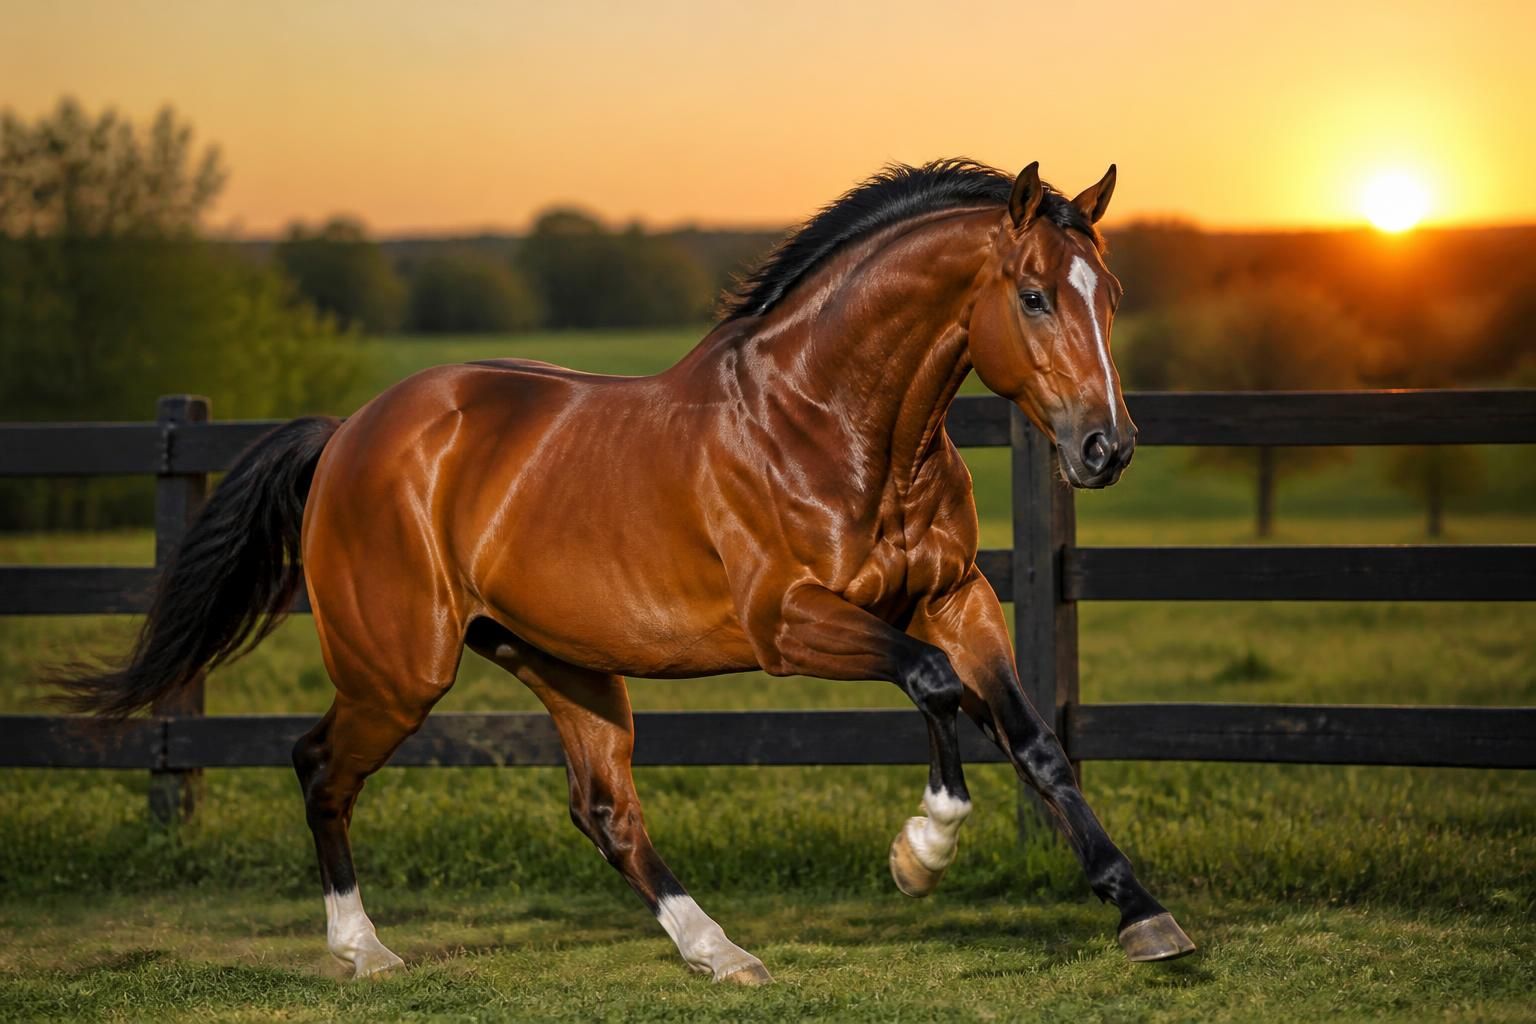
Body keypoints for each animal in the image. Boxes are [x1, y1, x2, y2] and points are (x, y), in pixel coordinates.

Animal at [58, 158, 1195, 983]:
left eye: (1110, 293)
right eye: (1036, 295)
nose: (1107, 448)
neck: (826, 423)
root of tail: (350, 435)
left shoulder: (957, 598)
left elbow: (1034, 739)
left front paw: (1145, 916)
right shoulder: (789, 624)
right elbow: (931, 683)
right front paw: (924, 849)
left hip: (564, 663)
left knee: (605, 814)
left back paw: (720, 953)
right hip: (401, 671)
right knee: (317, 766)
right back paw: (363, 950)